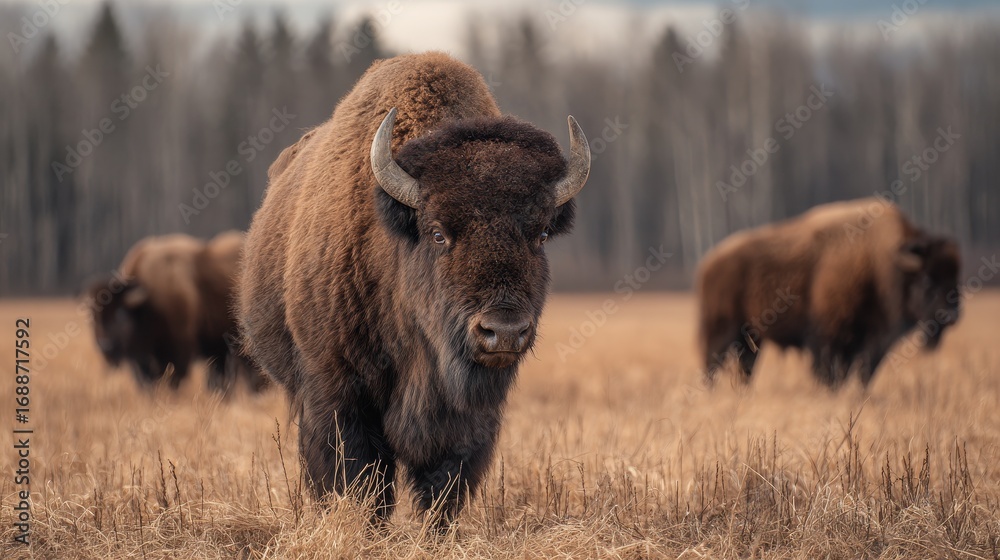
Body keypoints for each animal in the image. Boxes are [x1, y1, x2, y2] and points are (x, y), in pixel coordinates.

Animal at [238, 52, 591, 524]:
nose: (504, 331)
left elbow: (445, 480)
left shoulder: (469, 417)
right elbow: (358, 473)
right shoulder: (336, 389)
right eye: (438, 233)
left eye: (541, 234)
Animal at [697, 197, 961, 388]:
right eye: (927, 278)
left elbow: (864, 369)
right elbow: (830, 369)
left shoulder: (873, 340)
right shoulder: (829, 335)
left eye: (957, 277)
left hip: (752, 336)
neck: (880, 261)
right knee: (712, 361)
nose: (951, 316)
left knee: (745, 365)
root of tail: (710, 261)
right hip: (722, 331)